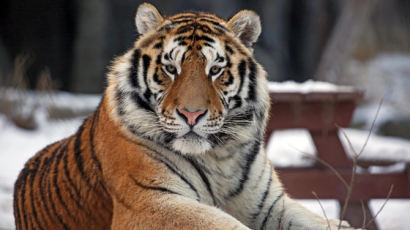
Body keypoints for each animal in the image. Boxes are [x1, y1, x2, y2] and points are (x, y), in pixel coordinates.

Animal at [12, 3, 362, 230]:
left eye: (216, 69)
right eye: (170, 68)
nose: (191, 114)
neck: (219, 156)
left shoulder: (270, 206)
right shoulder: (153, 202)